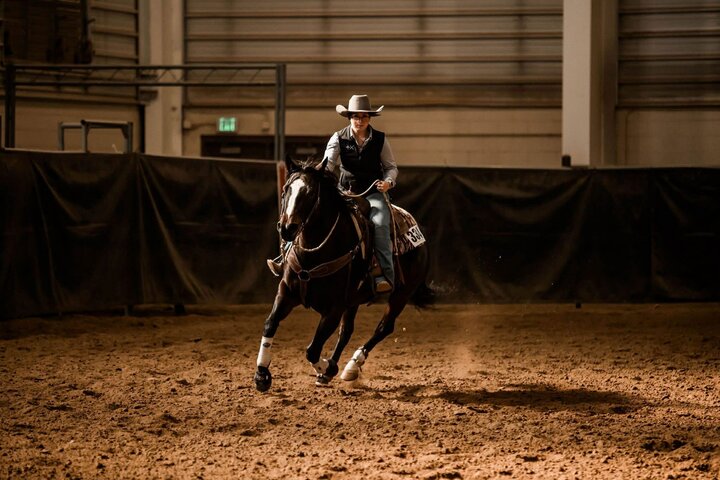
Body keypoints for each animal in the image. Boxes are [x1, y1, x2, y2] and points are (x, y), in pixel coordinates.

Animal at [254, 156, 433, 391]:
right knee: (346, 331)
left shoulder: (334, 309)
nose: (287, 228)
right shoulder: (287, 294)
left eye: (310, 193)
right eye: (286, 190)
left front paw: (329, 368)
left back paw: (351, 366)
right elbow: (270, 323)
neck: (314, 254)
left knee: (384, 327)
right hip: (354, 301)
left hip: (401, 295)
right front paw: (262, 374)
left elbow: (312, 350)